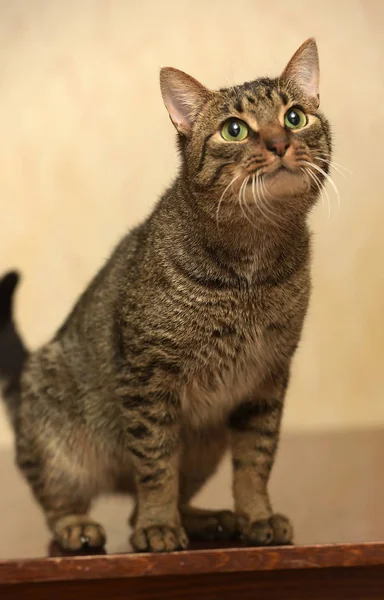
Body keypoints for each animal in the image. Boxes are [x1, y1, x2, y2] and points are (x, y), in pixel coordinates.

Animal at [0, 38, 330, 552]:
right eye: (234, 129)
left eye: (294, 117)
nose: (279, 142)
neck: (251, 266)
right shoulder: (148, 378)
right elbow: (155, 466)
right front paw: (158, 527)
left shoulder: (267, 379)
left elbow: (255, 462)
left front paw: (257, 515)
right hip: (57, 434)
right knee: (62, 500)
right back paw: (79, 526)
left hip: (205, 443)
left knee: (149, 499)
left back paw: (208, 519)